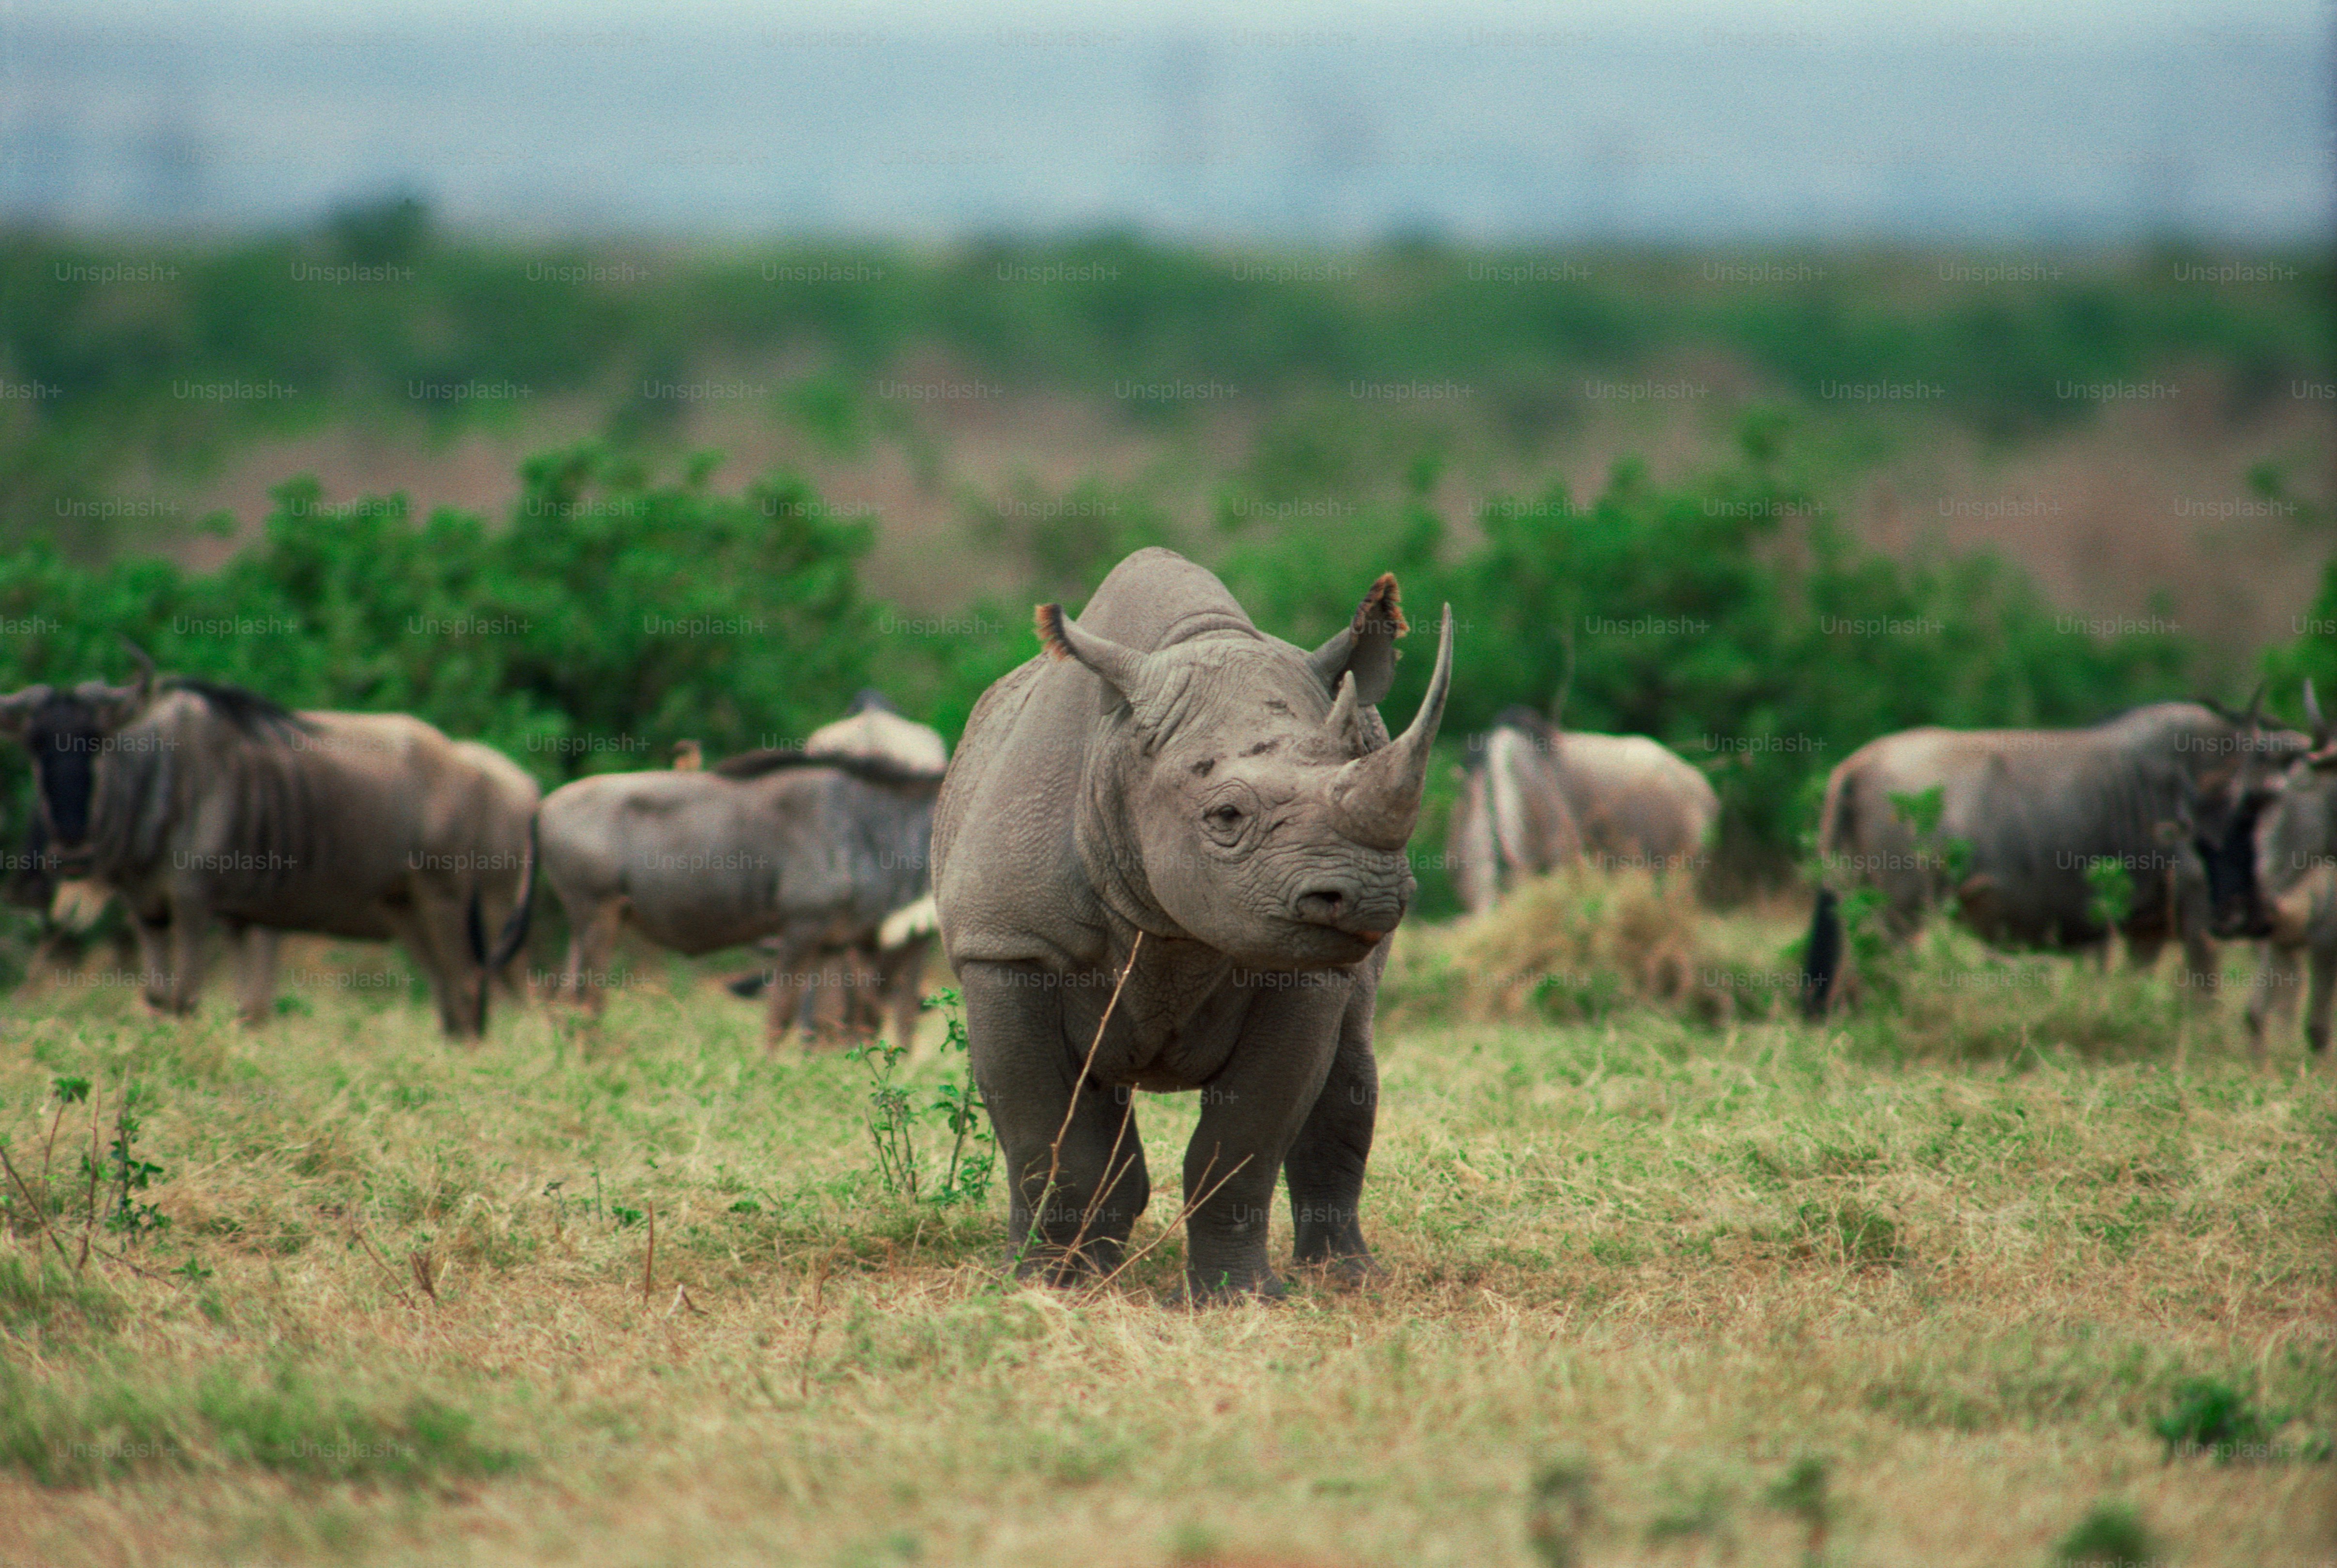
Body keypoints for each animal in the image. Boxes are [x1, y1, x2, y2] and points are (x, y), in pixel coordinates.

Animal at [932, 547, 1453, 1299]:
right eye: (1226, 816)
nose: (1372, 895)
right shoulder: (1008, 948)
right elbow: (1044, 1141)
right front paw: (1040, 1287)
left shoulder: (1305, 971)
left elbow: (1241, 1142)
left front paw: (1237, 1298)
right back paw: (1089, 1269)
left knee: (1352, 1053)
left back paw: (1348, 1279)